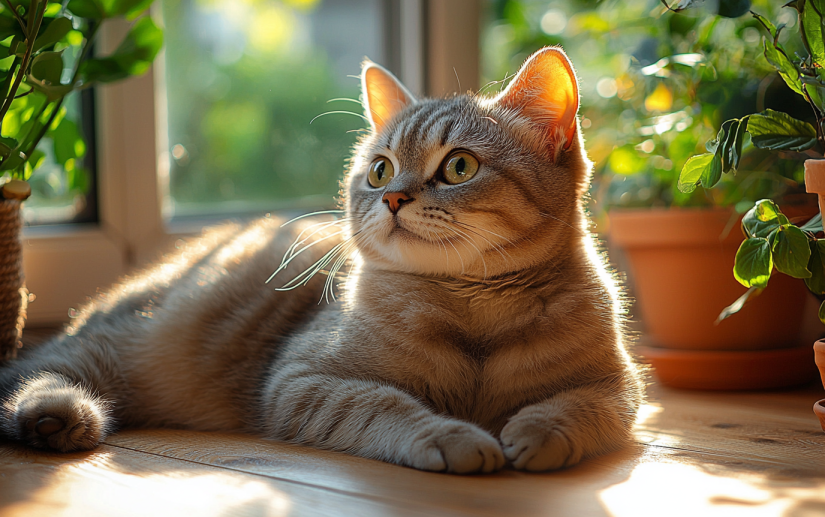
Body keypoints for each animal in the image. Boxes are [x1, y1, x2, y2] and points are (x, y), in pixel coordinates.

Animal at [0, 47, 644, 472]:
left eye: (459, 166)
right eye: (380, 169)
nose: (392, 196)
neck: (473, 312)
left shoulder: (618, 386)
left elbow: (576, 407)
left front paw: (536, 430)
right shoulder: (304, 381)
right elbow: (384, 405)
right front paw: (451, 437)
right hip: (126, 345)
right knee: (39, 370)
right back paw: (56, 416)